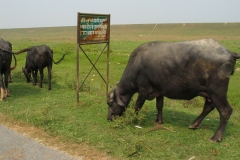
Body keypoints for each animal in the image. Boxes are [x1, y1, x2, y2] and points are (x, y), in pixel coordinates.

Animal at [108, 39, 240, 142]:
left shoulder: (143, 90)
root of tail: (229, 53)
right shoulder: (159, 91)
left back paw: (216, 137)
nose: (109, 118)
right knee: (208, 107)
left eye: (110, 103)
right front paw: (159, 121)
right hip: (209, 93)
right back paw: (194, 124)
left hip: (217, 92)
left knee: (225, 110)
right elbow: (159, 105)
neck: (137, 64)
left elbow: (137, 106)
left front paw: (133, 119)